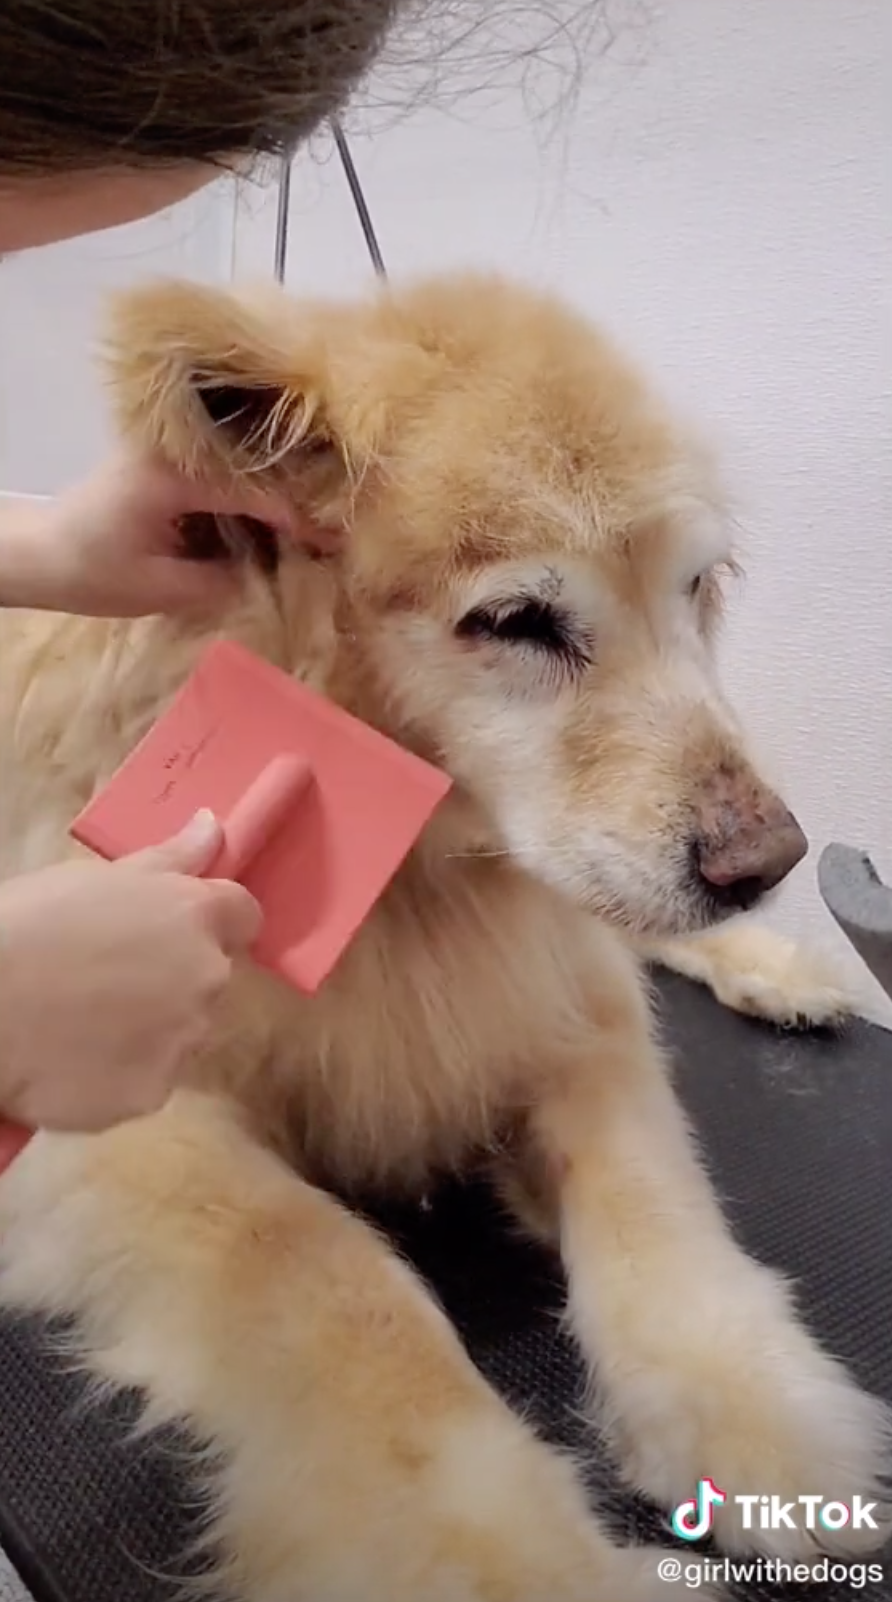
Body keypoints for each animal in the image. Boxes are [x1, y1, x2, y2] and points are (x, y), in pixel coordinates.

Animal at [0, 269, 877, 1595]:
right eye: (517, 619)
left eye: (692, 588)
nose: (766, 865)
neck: (415, 889)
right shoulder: (111, 1112)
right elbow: (338, 1285)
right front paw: (526, 1560)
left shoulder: (563, 1012)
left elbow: (652, 1202)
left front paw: (762, 1419)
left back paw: (780, 971)